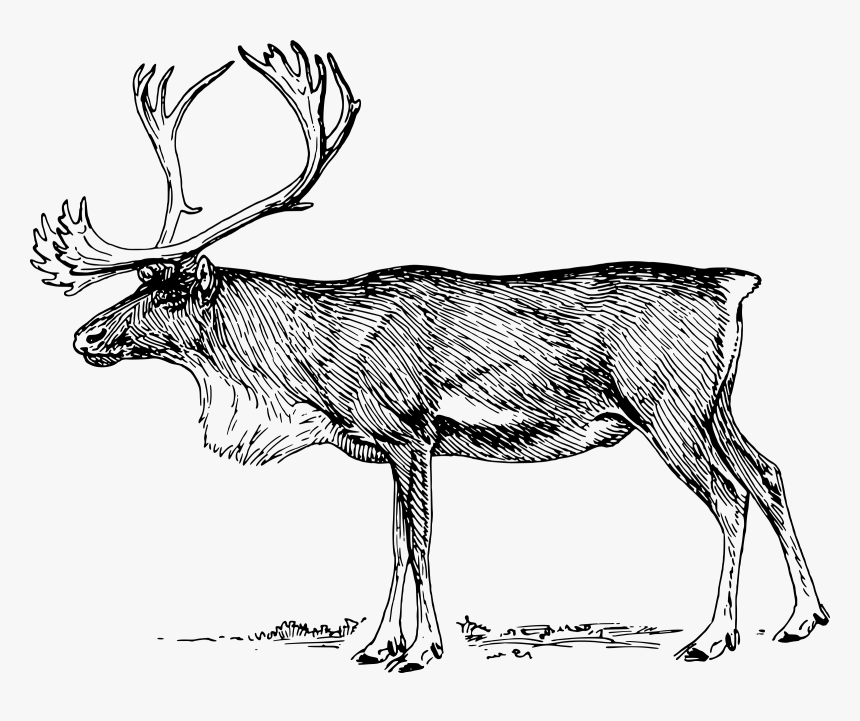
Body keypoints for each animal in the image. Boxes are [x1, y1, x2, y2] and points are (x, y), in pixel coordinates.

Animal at [32, 40, 828, 672]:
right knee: (768, 472)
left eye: (162, 286)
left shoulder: (411, 429)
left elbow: (419, 541)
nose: (83, 337)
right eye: (139, 282)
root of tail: (734, 283)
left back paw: (712, 637)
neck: (312, 375)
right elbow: (392, 540)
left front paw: (420, 650)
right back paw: (802, 619)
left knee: (730, 497)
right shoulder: (383, 445)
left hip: (670, 408)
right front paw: (374, 644)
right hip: (717, 404)